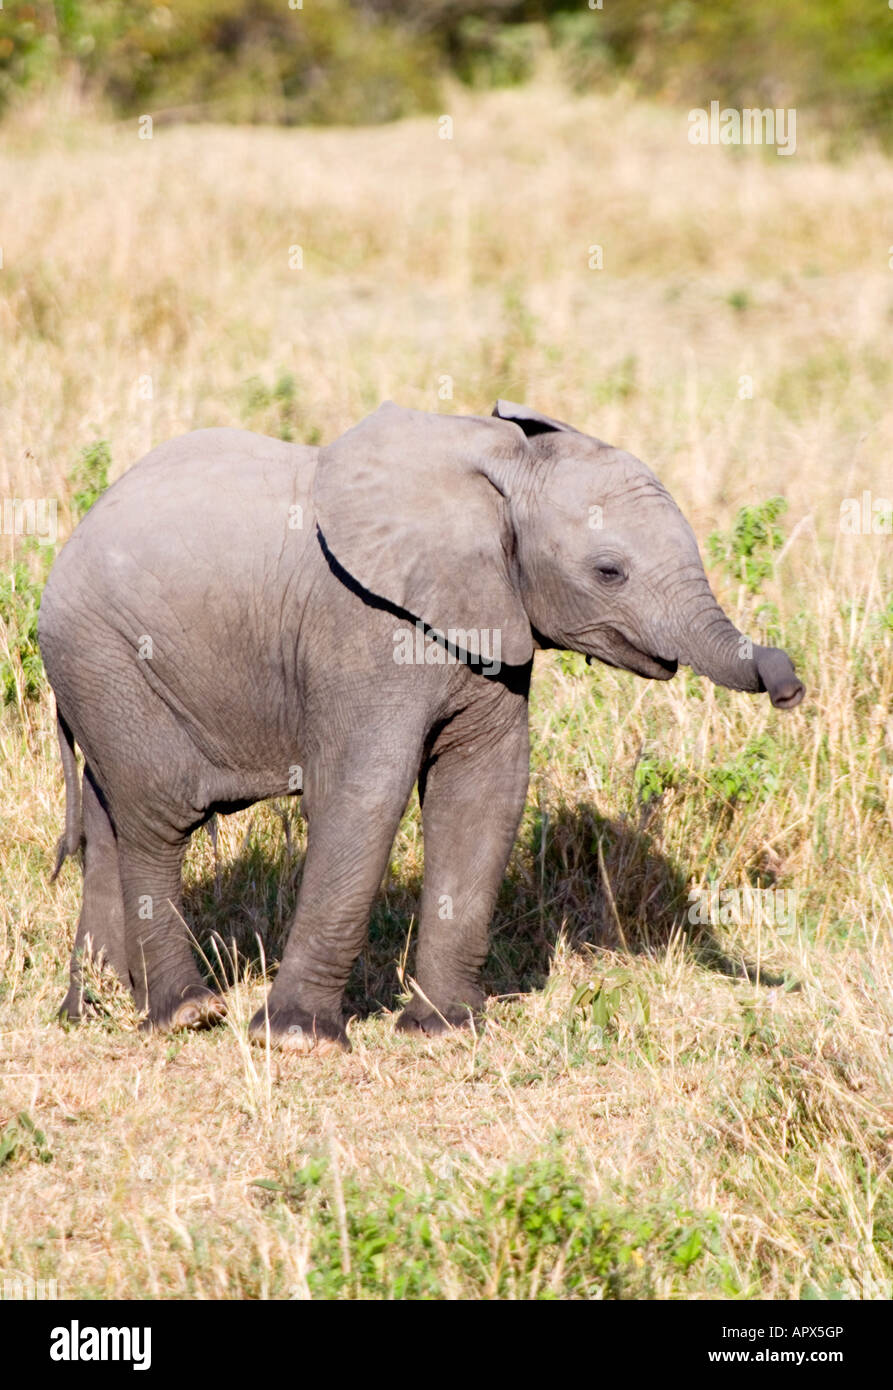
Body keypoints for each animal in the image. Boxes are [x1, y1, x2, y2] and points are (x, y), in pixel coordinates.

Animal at [38, 400, 804, 1051]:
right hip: (103, 653)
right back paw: (186, 1014)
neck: (494, 462)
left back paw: (100, 1006)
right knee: (160, 814)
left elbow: (483, 795)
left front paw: (441, 1032)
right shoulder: (364, 628)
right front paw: (298, 1041)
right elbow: (364, 795)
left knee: (111, 819)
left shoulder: (489, 626)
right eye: (608, 571)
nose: (789, 687)